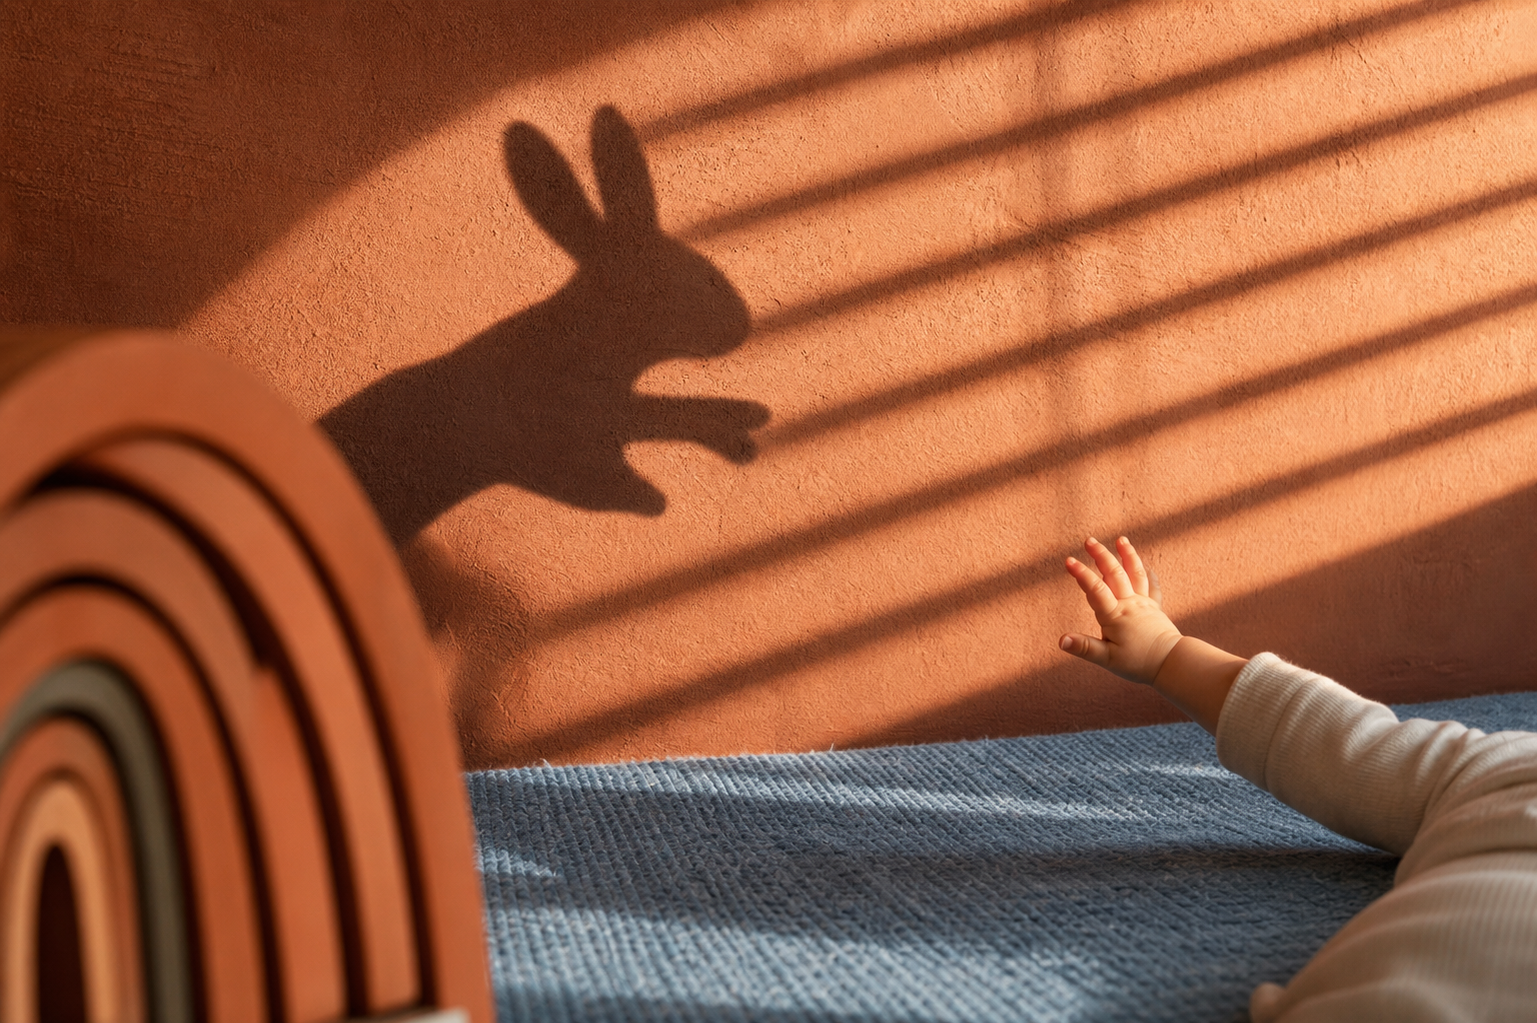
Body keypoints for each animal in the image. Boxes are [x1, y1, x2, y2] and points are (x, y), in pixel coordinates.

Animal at [320, 105, 770, 545]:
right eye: (665, 285)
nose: (740, 329)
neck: (593, 332)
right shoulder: (574, 427)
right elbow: (634, 446)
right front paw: (656, 496)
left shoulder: (611, 405)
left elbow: (661, 412)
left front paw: (746, 423)